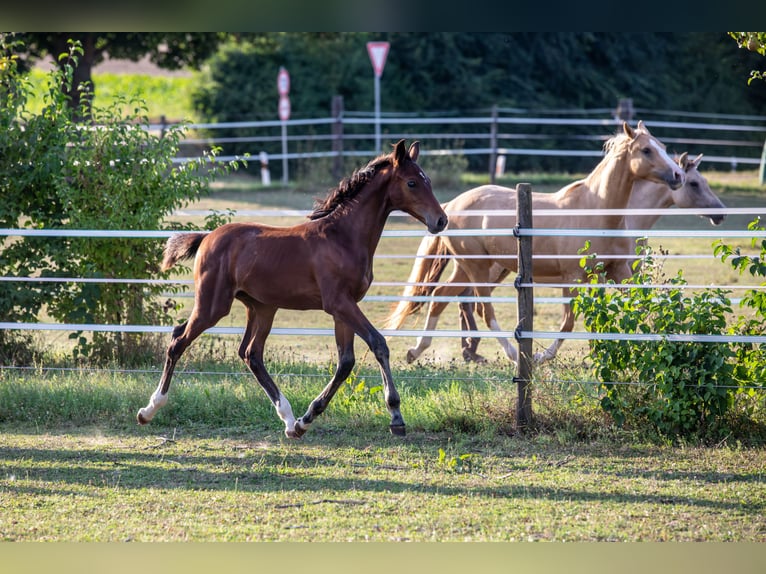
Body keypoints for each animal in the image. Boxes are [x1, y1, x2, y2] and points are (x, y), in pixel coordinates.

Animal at [138, 142, 450, 438]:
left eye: (427, 180)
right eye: (412, 182)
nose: (441, 220)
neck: (343, 238)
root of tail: (206, 237)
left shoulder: (344, 307)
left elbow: (345, 362)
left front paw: (306, 419)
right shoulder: (339, 303)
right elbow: (378, 344)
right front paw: (396, 416)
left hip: (262, 307)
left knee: (250, 353)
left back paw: (288, 420)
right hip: (213, 305)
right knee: (179, 340)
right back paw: (149, 410)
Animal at [388, 121, 688, 364]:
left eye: (662, 146)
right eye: (646, 150)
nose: (678, 176)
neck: (596, 210)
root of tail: (451, 206)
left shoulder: (616, 270)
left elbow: (640, 307)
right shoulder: (573, 277)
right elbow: (569, 322)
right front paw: (543, 357)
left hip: (466, 267)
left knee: (439, 297)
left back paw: (416, 350)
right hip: (477, 267)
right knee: (484, 309)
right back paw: (513, 354)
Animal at [460, 152, 728, 364]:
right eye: (694, 183)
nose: (721, 213)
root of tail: (458, 203)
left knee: (466, 301)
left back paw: (471, 351)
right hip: (485, 270)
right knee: (470, 302)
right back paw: (481, 351)